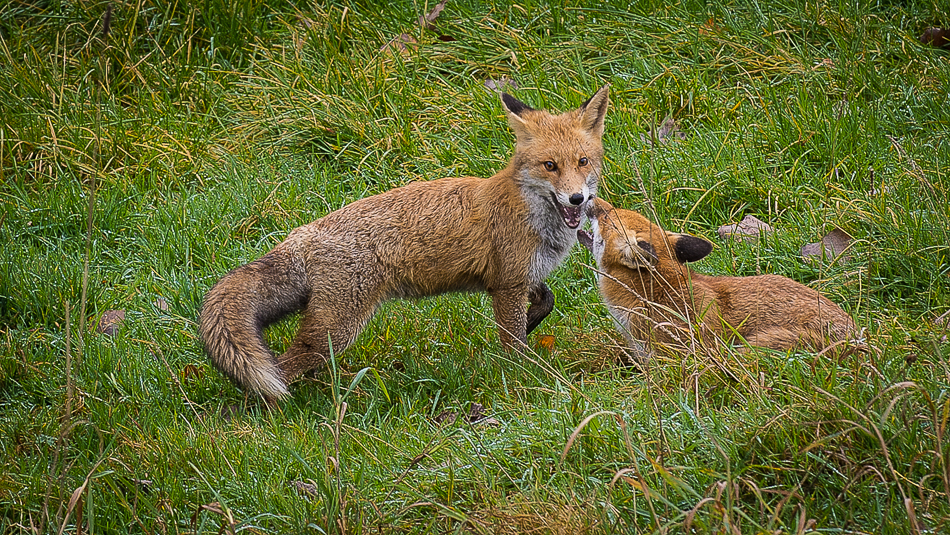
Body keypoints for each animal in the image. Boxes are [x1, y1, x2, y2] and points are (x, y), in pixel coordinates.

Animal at [204, 86, 612, 400]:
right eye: (549, 166)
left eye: (582, 161)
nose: (577, 198)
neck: (533, 213)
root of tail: (301, 233)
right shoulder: (508, 284)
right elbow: (514, 344)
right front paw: (522, 374)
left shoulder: (519, 277)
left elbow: (546, 302)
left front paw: (528, 327)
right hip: (337, 328)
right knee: (283, 369)